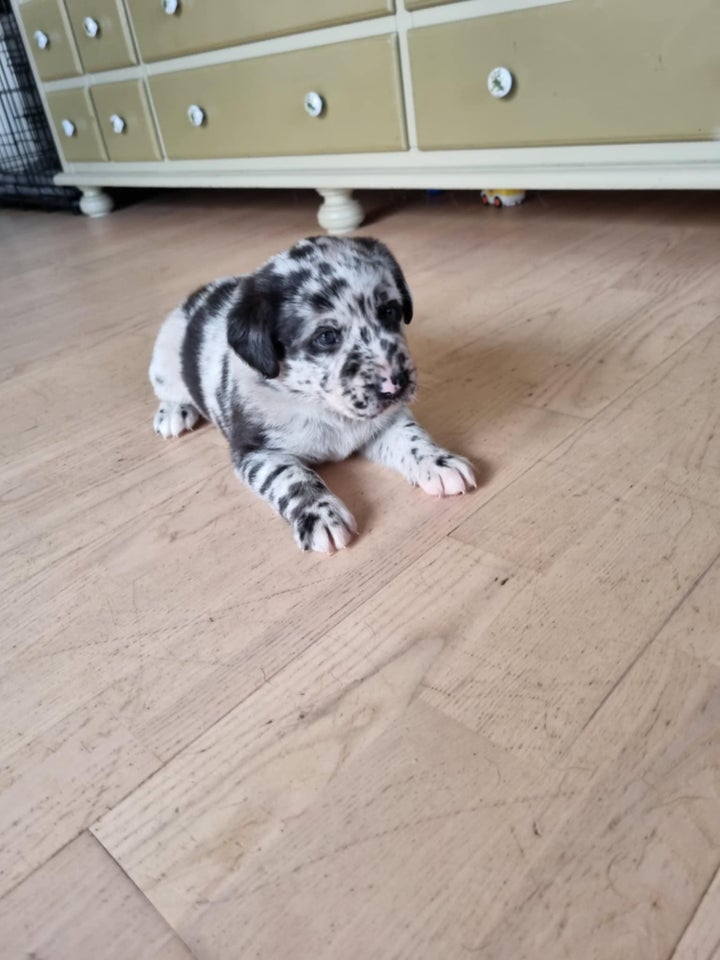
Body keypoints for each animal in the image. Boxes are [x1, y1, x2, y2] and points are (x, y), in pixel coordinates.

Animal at [149, 234, 476, 556]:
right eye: (326, 337)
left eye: (390, 311)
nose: (396, 383)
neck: (323, 407)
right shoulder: (256, 450)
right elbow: (291, 478)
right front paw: (320, 514)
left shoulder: (384, 421)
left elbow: (411, 436)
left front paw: (438, 462)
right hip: (164, 361)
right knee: (169, 392)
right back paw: (174, 413)